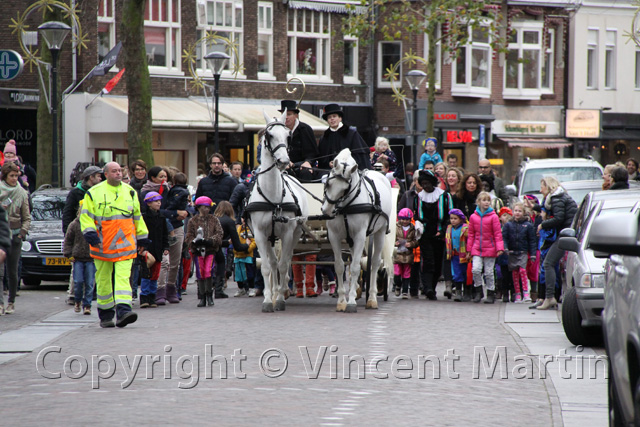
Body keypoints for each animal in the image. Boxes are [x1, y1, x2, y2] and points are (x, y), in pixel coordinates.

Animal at [245, 108, 308, 312]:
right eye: (269, 135)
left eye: (288, 136)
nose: (283, 161)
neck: (272, 197)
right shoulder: (259, 234)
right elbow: (267, 267)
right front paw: (268, 300)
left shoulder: (287, 233)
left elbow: (283, 265)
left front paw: (280, 299)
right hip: (270, 238)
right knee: (273, 262)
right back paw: (272, 293)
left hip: (295, 233)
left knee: (285, 261)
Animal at [322, 149, 392, 312]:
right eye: (328, 183)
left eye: (344, 189)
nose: (327, 211)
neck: (346, 206)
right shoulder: (334, 236)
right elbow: (340, 266)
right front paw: (342, 301)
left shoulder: (360, 236)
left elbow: (354, 267)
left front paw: (351, 302)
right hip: (351, 240)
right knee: (357, 260)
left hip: (379, 233)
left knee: (374, 263)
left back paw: (372, 298)